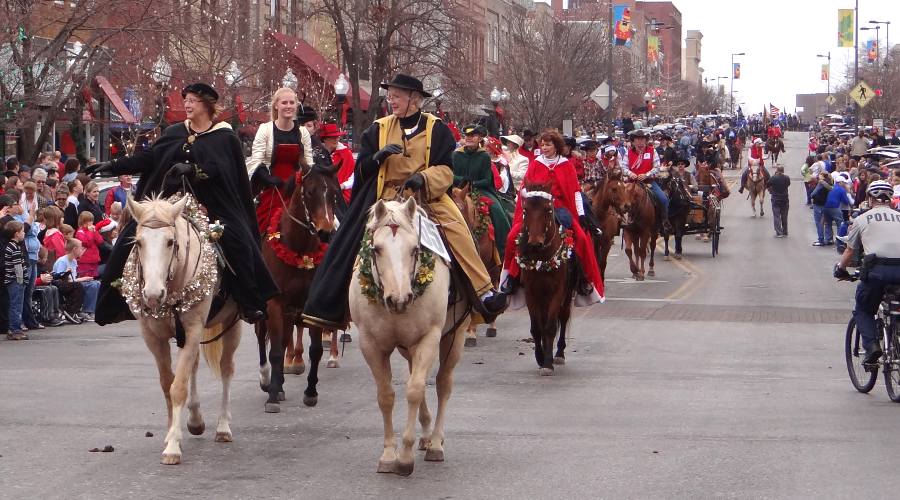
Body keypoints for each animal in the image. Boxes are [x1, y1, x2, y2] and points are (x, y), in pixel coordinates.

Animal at [125, 194, 243, 464]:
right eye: (139, 242)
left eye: (170, 242)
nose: (153, 295)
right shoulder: (154, 337)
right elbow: (167, 384)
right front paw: (172, 433)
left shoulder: (193, 330)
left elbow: (178, 387)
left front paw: (173, 448)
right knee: (195, 366)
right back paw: (195, 420)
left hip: (233, 322)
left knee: (226, 368)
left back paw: (223, 427)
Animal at [256, 158, 342, 412]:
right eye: (310, 192)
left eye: (334, 194)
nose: (325, 232)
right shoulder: (274, 303)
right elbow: (275, 350)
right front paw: (272, 395)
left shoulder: (308, 304)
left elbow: (315, 350)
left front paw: (310, 391)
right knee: (263, 337)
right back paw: (267, 379)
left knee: (285, 338)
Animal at [348, 198, 468, 476]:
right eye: (377, 249)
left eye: (415, 249)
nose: (399, 299)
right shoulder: (370, 344)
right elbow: (386, 395)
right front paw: (388, 455)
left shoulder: (429, 337)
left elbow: (414, 390)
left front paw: (404, 457)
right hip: (407, 347)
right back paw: (425, 435)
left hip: (454, 337)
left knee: (443, 383)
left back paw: (435, 442)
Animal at [520, 182, 576, 374]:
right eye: (525, 209)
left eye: (547, 209)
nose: (535, 243)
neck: (542, 258)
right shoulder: (530, 292)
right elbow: (537, 328)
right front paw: (540, 357)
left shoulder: (557, 291)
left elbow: (551, 326)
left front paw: (548, 363)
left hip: (567, 294)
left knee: (563, 317)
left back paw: (558, 353)